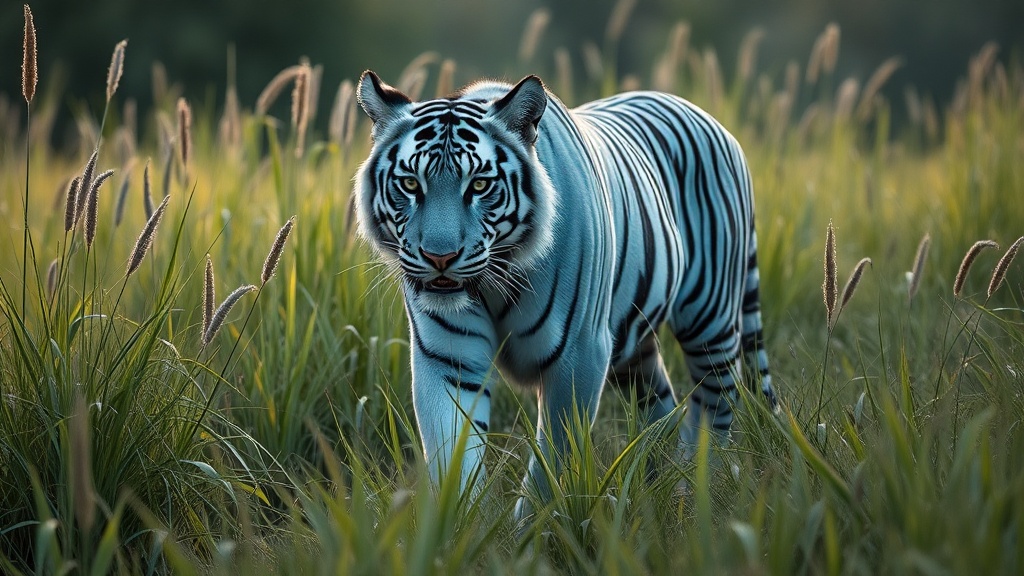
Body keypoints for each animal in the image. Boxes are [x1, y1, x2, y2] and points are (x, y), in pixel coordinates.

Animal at [353, 70, 779, 517]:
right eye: (410, 183)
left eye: (480, 184)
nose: (440, 257)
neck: (496, 280)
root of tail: (710, 119)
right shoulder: (449, 358)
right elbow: (452, 454)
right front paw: (458, 523)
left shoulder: (580, 354)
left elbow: (553, 458)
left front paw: (531, 526)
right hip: (632, 348)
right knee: (661, 406)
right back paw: (660, 485)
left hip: (710, 322)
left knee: (716, 404)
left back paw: (700, 485)